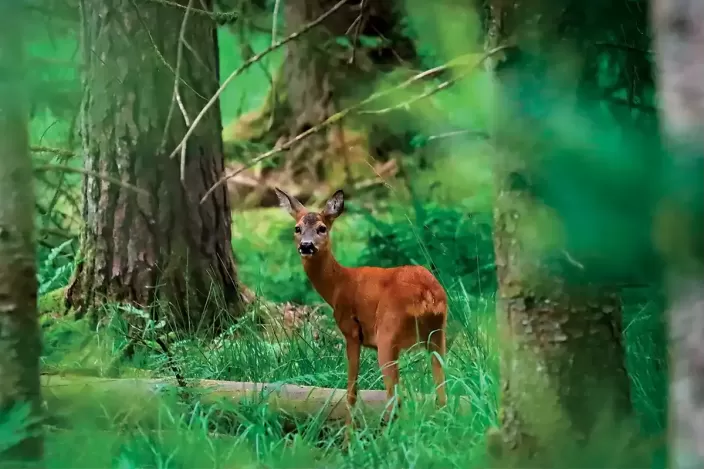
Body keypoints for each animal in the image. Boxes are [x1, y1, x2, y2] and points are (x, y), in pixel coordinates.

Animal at [272, 186, 448, 424]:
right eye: (297, 228)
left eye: (322, 228)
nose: (306, 246)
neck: (338, 285)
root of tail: (428, 294)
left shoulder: (352, 332)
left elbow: (351, 393)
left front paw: (349, 433)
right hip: (438, 333)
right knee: (442, 391)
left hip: (388, 333)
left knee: (396, 397)